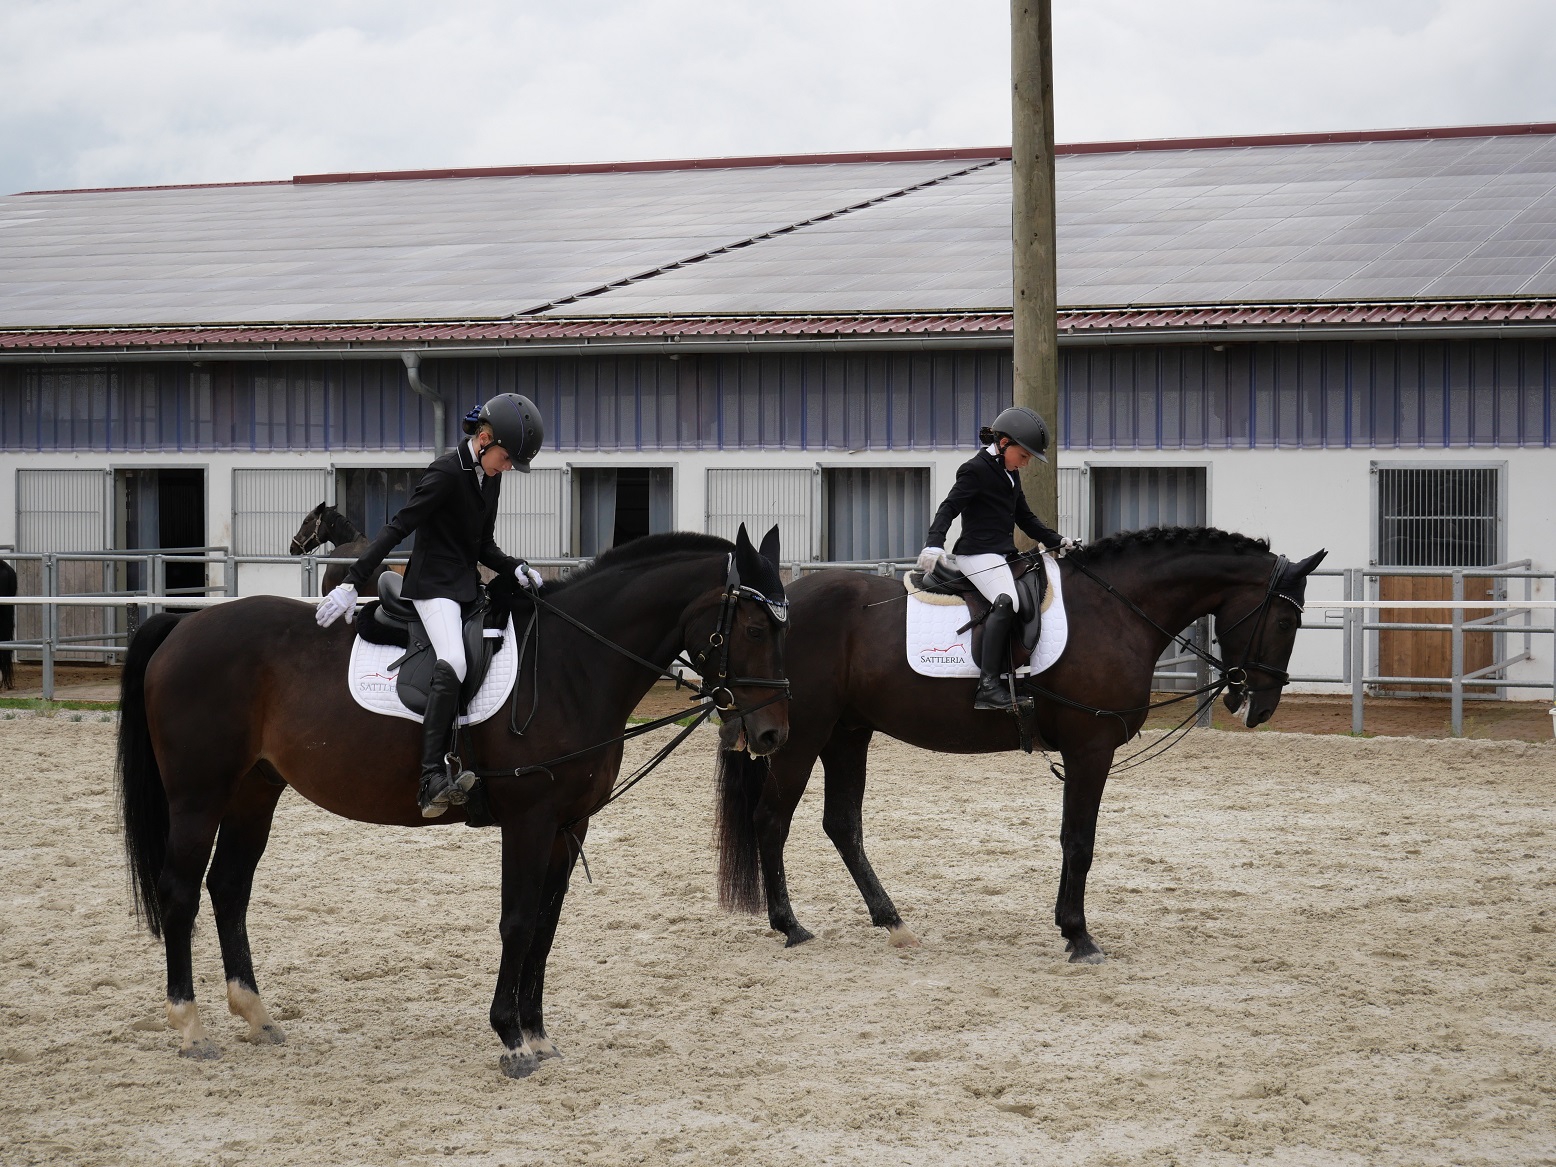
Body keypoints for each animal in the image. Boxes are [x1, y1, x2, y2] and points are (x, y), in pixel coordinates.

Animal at [118, 529, 790, 1076]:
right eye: (756, 629)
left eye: (781, 631)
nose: (770, 736)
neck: (573, 665)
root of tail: (184, 626)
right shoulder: (529, 821)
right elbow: (517, 922)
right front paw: (512, 1041)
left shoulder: (568, 825)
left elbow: (545, 926)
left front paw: (539, 1036)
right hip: (199, 794)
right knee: (180, 892)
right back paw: (190, 1028)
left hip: (255, 790)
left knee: (229, 887)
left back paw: (256, 1016)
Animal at [715, 529, 1325, 970]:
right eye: (1286, 619)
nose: (1259, 708)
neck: (1117, 609)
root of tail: (783, 602)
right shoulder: (1090, 747)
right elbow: (1079, 841)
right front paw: (1080, 937)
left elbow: (1073, 840)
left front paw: (1069, 928)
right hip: (802, 735)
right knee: (771, 818)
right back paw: (790, 926)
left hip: (846, 734)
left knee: (842, 824)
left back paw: (893, 922)